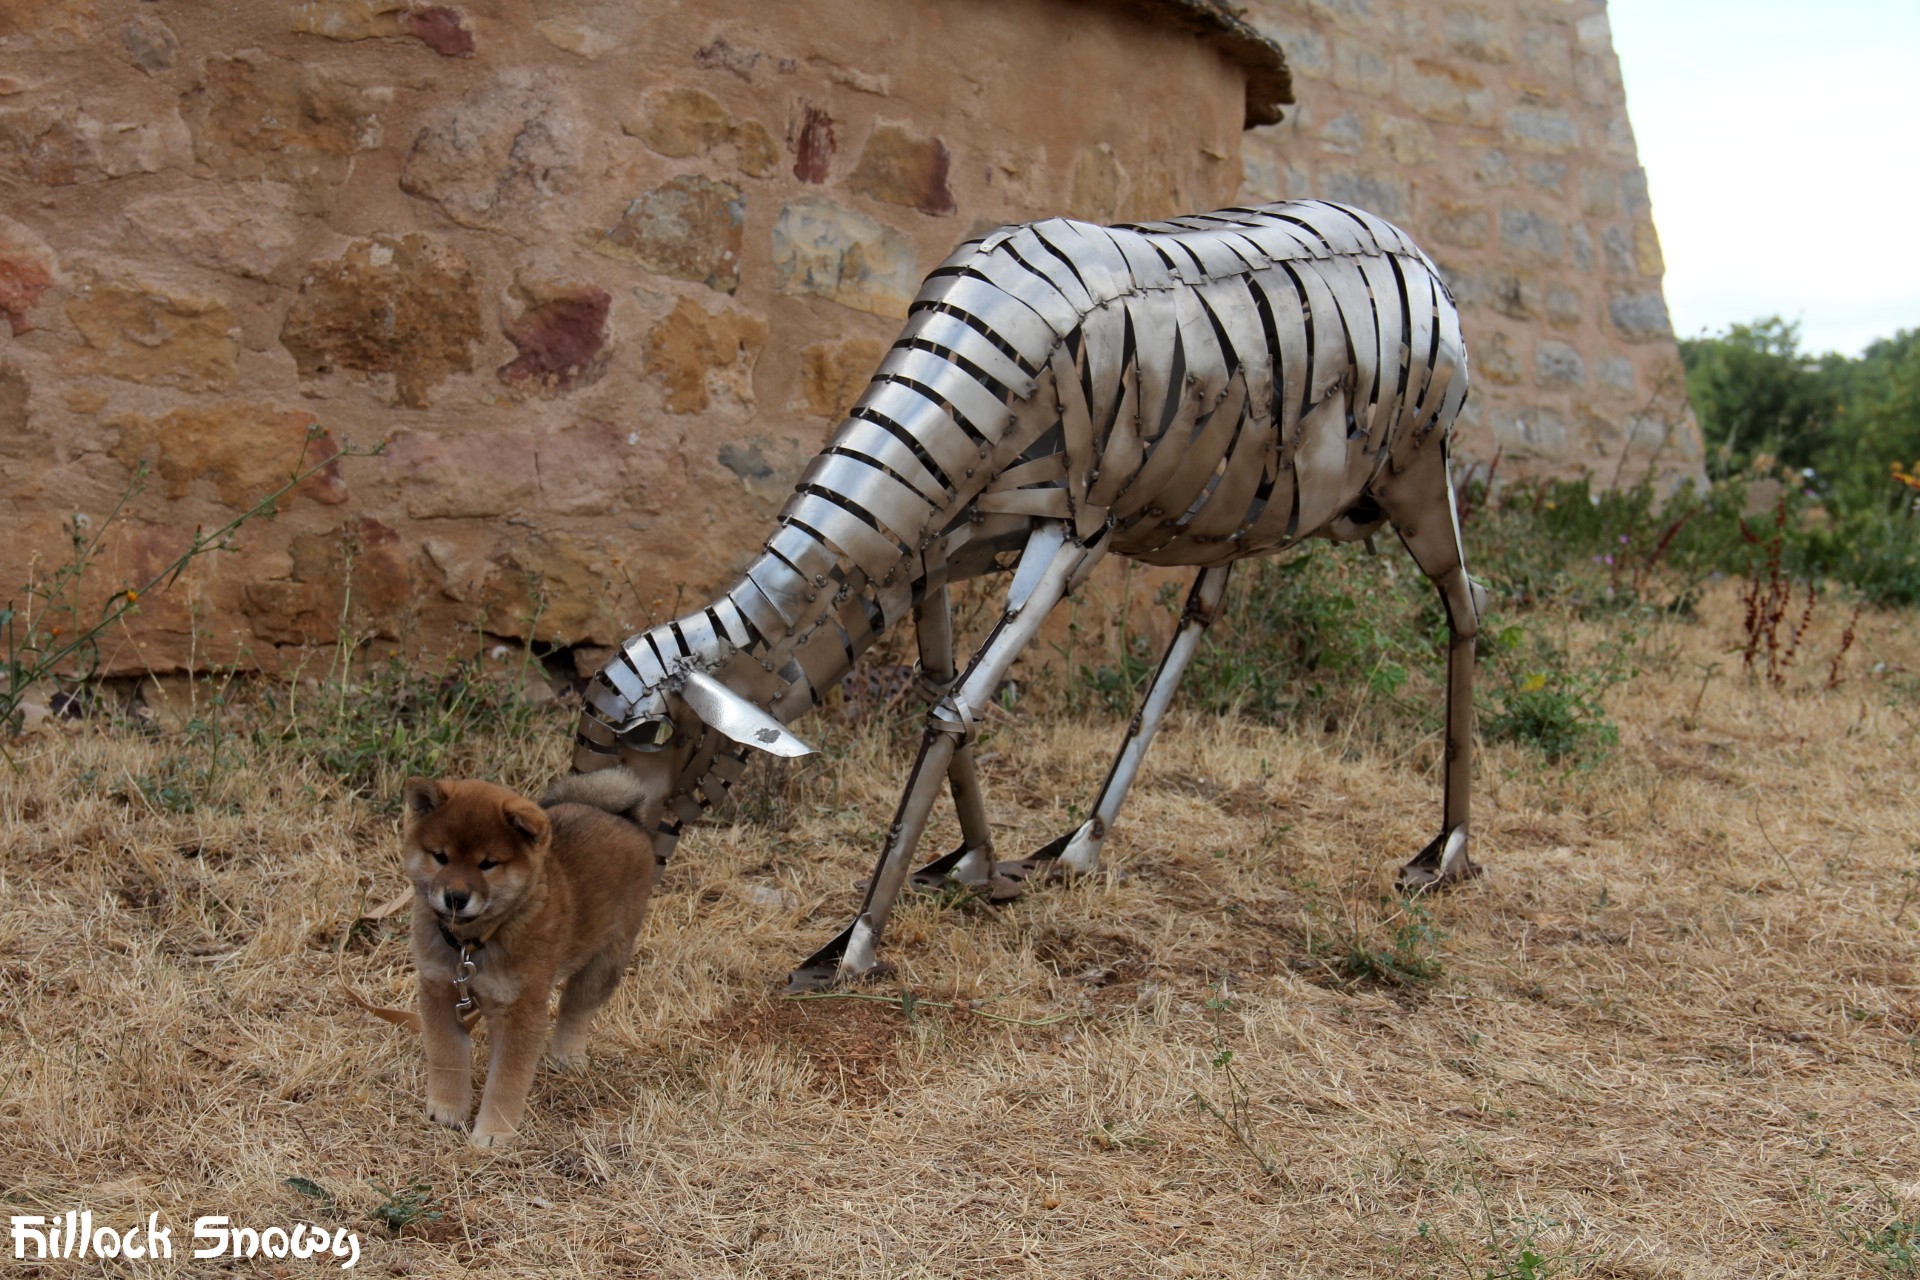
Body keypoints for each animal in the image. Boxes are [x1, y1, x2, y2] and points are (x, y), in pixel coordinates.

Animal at [403, 771, 660, 1151]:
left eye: (488, 863)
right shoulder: (440, 990)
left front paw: (495, 1131)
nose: (455, 897)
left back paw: (567, 1056)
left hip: (605, 959)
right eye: (440, 857)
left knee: (575, 1010)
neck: (474, 942)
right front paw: (448, 1108)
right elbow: (446, 1055)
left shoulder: (520, 1009)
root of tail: (623, 817)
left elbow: (507, 1078)